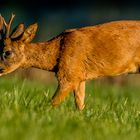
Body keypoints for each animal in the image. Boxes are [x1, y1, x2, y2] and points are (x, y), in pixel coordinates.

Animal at [0, 14, 140, 110]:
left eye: (7, 52)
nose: (0, 69)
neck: (57, 52)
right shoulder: (79, 77)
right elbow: (80, 105)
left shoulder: (68, 75)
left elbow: (51, 103)